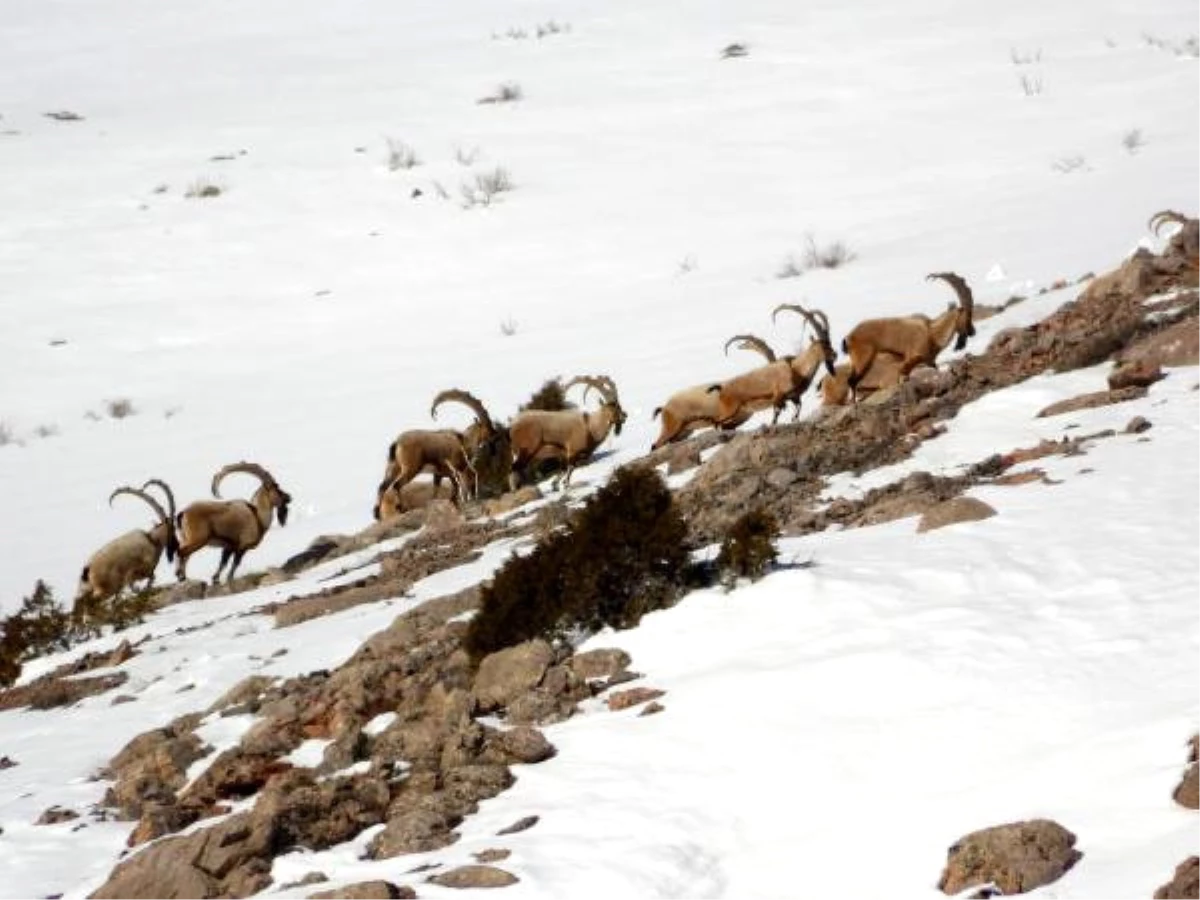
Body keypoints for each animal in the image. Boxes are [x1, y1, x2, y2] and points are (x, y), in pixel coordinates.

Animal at [73, 487, 177, 619]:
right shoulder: (137, 571)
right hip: (106, 588)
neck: (151, 540)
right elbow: (148, 579)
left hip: (86, 588)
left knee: (80, 601)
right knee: (91, 602)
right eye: (172, 529)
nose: (175, 546)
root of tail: (88, 569)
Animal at [175, 460, 291, 588]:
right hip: (198, 539)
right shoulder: (242, 547)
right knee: (182, 552)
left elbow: (223, 562)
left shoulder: (229, 547)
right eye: (277, 488)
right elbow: (235, 563)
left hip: (186, 538)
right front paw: (229, 578)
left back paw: (182, 577)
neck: (257, 517)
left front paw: (216, 579)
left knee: (184, 554)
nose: (289, 497)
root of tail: (184, 513)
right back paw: (181, 576)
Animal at [705, 304, 840, 427]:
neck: (796, 370)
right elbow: (775, 416)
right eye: (822, 346)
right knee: (717, 422)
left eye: (829, 343)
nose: (835, 355)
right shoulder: (778, 397)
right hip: (730, 410)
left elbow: (797, 411)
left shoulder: (794, 398)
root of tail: (722, 389)